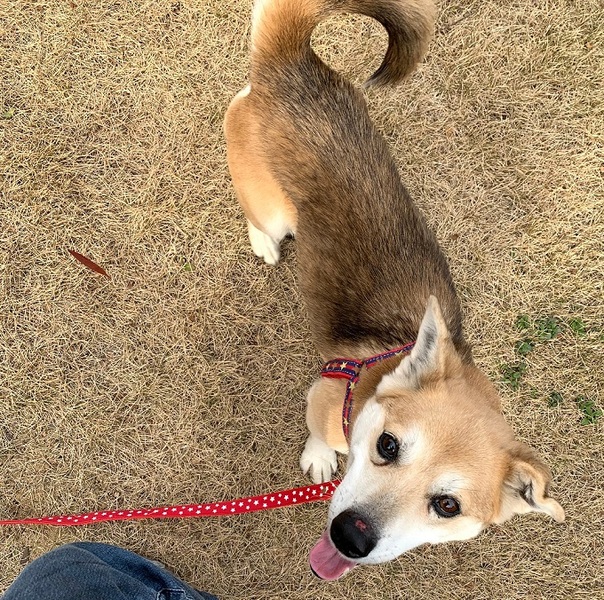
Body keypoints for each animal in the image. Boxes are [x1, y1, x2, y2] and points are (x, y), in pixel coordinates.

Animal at [224, 0, 564, 581]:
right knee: (259, 216)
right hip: (266, 202)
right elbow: (318, 433)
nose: (351, 536)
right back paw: (264, 243)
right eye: (387, 446)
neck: (376, 379)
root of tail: (290, 62)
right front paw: (320, 456)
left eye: (446, 505)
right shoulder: (324, 395)